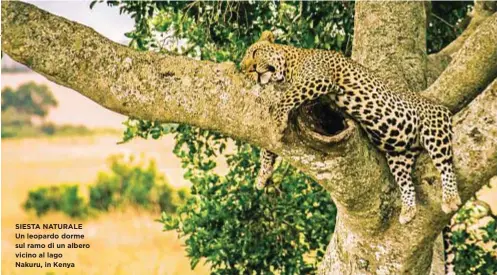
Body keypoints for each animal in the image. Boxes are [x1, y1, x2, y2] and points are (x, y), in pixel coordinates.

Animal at [240, 31, 462, 225]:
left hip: (434, 128)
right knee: (406, 181)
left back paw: (451, 199)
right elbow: (268, 146)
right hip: (399, 154)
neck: (289, 66)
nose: (250, 70)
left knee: (445, 164)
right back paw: (408, 211)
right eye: (244, 68)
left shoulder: (318, 79)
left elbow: (287, 98)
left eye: (254, 53)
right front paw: (263, 174)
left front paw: (277, 119)